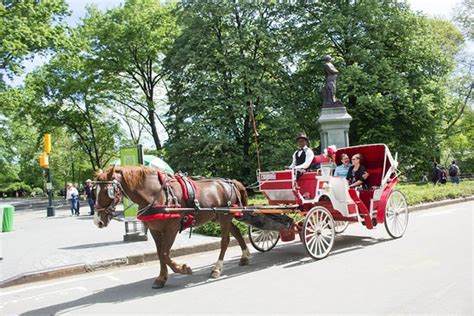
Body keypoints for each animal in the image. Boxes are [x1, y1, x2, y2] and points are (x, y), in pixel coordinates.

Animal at [91, 167, 248, 288]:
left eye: (106, 191)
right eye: (94, 191)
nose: (98, 221)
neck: (156, 194)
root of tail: (230, 182)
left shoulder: (171, 229)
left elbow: (165, 254)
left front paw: (182, 269)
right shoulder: (155, 230)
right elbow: (160, 253)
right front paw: (161, 278)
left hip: (224, 216)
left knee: (225, 241)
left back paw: (217, 268)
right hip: (218, 217)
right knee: (237, 232)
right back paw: (245, 257)